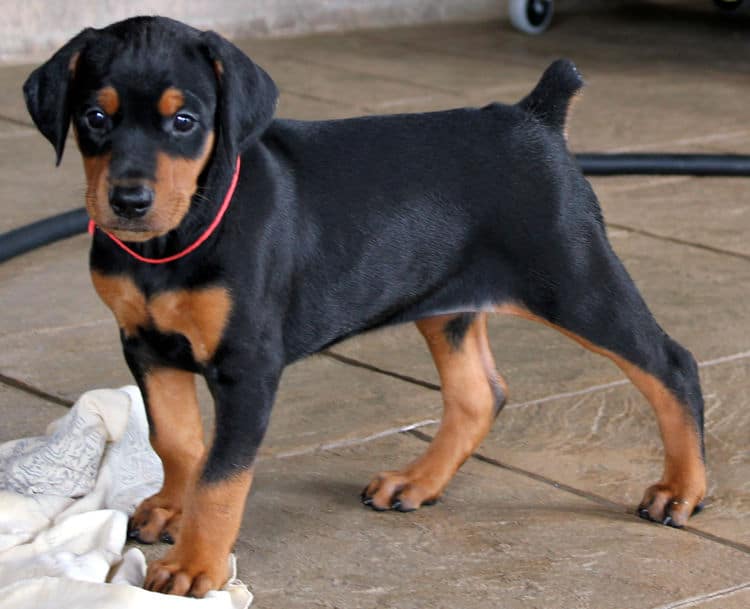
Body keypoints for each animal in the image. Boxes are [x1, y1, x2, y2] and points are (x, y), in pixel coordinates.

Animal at [22, 15, 704, 600]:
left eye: (185, 120)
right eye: (94, 117)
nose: (128, 201)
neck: (172, 242)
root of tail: (535, 117)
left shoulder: (248, 366)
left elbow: (222, 476)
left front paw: (195, 566)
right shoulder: (145, 344)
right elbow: (178, 442)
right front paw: (171, 508)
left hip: (572, 278)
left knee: (671, 364)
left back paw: (680, 491)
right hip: (446, 303)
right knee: (480, 394)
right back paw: (417, 483)